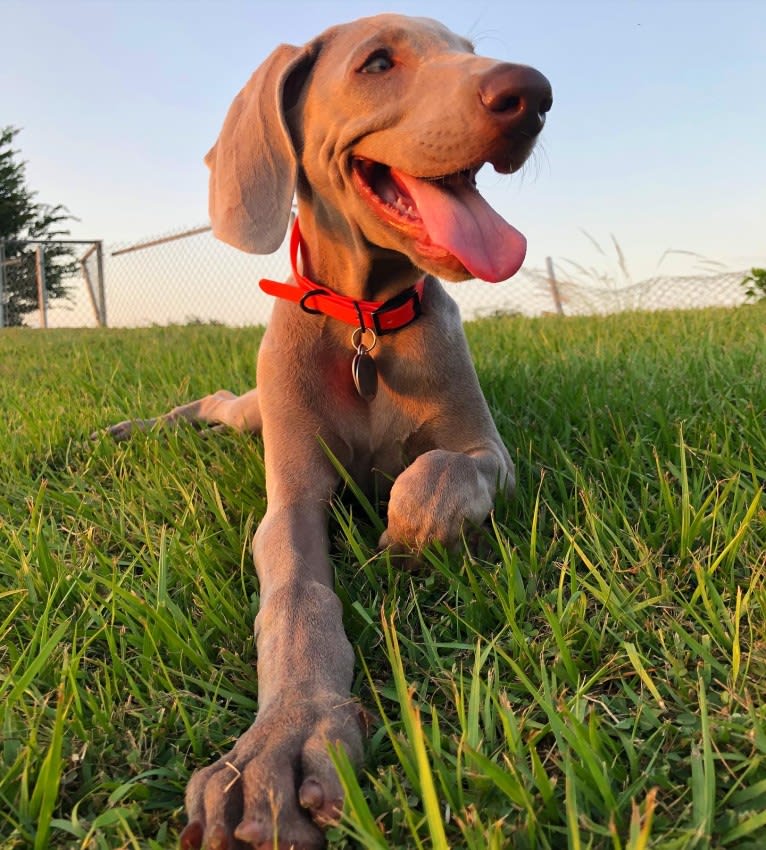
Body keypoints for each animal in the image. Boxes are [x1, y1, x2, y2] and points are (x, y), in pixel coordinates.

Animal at [106, 13, 552, 848]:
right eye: (377, 63)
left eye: (470, 53)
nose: (533, 92)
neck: (366, 322)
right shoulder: (293, 502)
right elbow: (296, 599)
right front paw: (281, 744)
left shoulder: (491, 451)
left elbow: (441, 470)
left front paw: (411, 524)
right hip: (254, 407)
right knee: (217, 399)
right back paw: (134, 429)